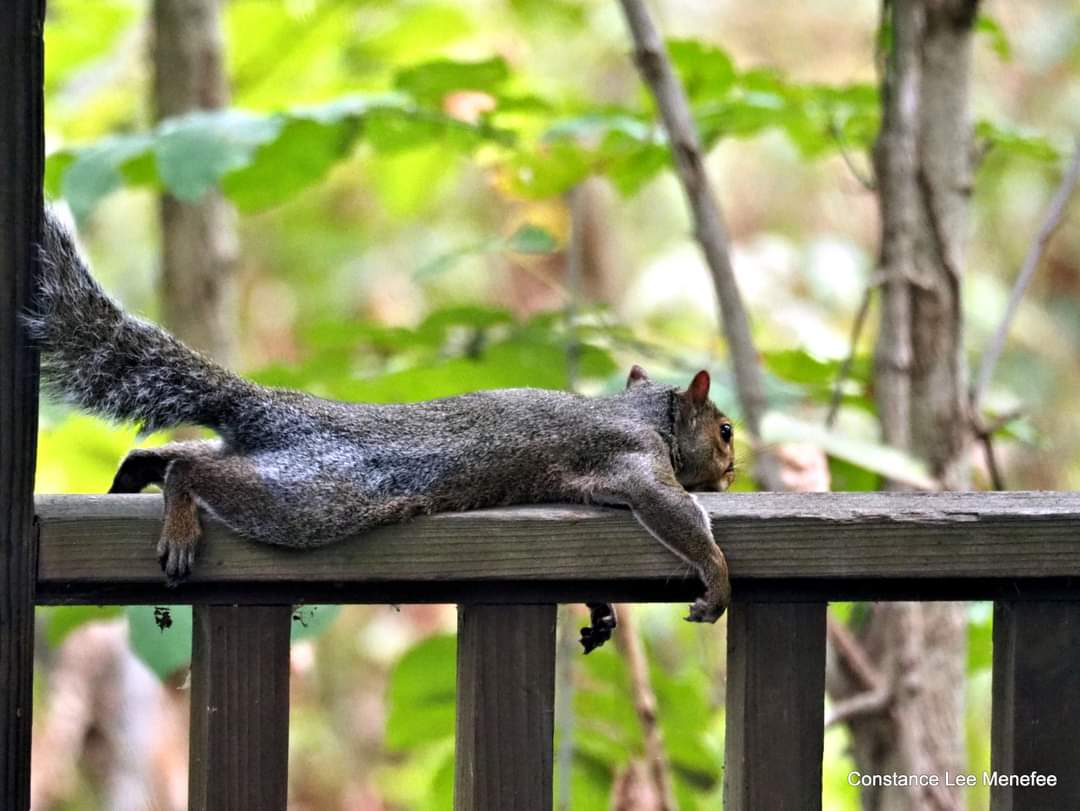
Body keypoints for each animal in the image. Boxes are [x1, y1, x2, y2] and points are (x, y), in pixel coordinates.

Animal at [27, 209, 734, 652]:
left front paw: (600, 609)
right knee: (194, 470)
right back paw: (176, 512)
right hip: (313, 494)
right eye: (726, 431)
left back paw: (135, 472)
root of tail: (276, 409)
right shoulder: (634, 457)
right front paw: (716, 574)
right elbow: (670, 508)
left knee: (175, 450)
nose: (732, 474)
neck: (642, 414)